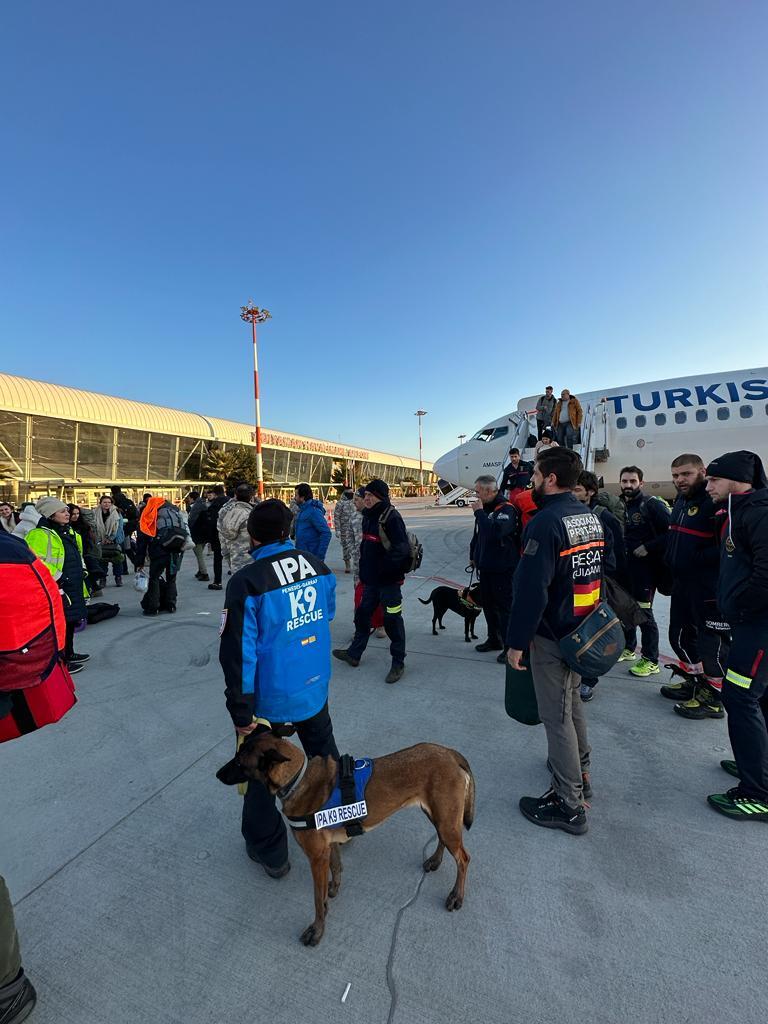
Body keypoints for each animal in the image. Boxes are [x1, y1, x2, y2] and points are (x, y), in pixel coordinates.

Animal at [217, 737, 479, 942]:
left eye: (239, 761)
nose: (217, 774)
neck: (297, 779)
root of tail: (449, 752)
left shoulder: (316, 857)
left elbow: (316, 899)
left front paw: (317, 930)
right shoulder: (328, 848)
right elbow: (335, 868)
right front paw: (333, 889)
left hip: (445, 820)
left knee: (464, 858)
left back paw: (456, 896)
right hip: (440, 816)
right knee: (444, 840)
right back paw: (435, 861)